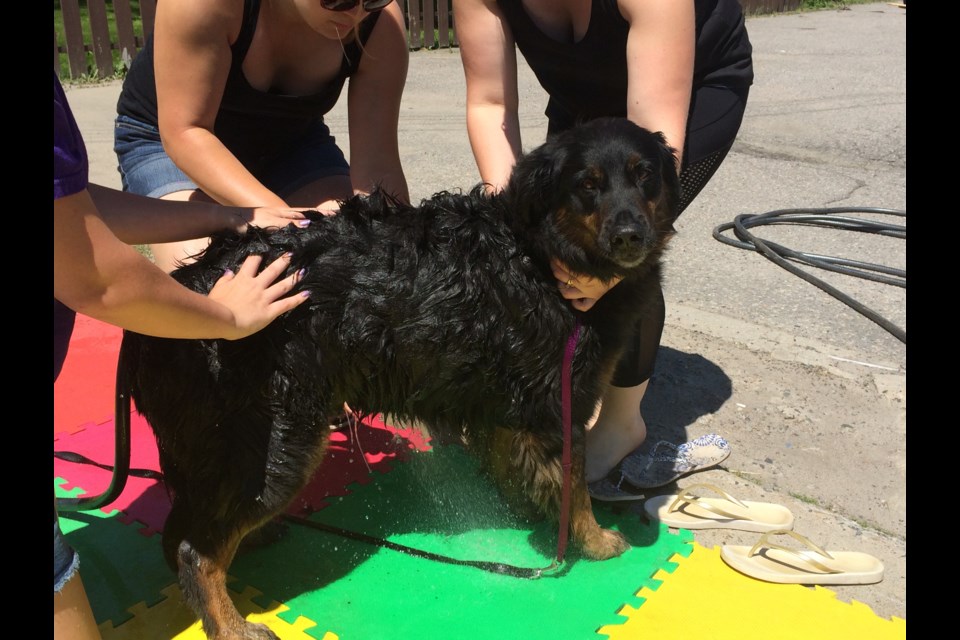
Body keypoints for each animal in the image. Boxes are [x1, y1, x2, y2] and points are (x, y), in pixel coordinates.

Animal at [120, 116, 680, 640]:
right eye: (587, 184)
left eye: (645, 175)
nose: (630, 235)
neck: (540, 255)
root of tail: (187, 287)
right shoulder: (560, 403)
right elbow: (574, 486)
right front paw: (595, 541)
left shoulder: (508, 407)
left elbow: (519, 469)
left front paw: (530, 510)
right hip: (277, 441)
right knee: (194, 549)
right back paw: (233, 624)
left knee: (183, 530)